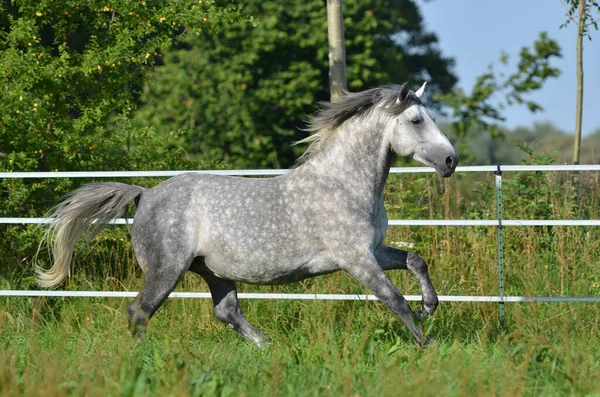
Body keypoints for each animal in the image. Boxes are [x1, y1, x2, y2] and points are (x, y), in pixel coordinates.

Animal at [36, 82, 460, 344]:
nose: (450, 160)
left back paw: (269, 347)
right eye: (416, 120)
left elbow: (416, 261)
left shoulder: (374, 251)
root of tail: (146, 193)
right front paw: (425, 343)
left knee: (226, 313)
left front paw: (429, 307)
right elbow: (394, 300)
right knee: (139, 311)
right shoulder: (356, 259)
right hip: (166, 270)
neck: (342, 183)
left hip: (215, 272)